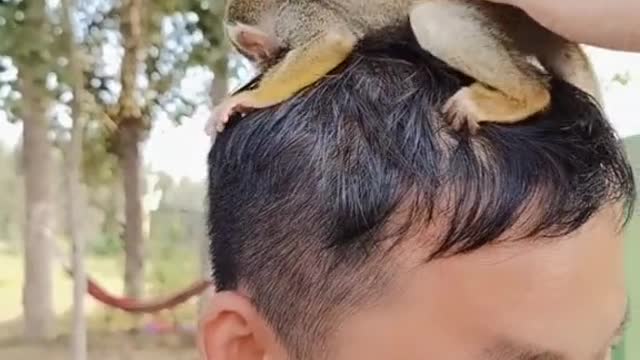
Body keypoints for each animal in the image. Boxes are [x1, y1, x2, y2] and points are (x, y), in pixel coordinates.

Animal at [208, 0, 604, 135]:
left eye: (255, 55)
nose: (261, 64)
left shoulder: (298, 13)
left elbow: (329, 41)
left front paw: (250, 99)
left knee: (431, 20)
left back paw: (528, 96)